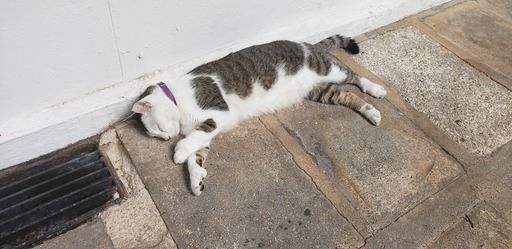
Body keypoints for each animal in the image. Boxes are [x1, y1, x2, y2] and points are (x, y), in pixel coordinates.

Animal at [130, 35, 386, 196]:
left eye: (156, 130)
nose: (165, 138)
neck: (179, 99)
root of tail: (308, 44)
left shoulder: (218, 113)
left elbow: (193, 139)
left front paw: (179, 152)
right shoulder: (204, 130)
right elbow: (197, 152)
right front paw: (196, 178)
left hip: (328, 70)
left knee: (352, 76)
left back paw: (375, 89)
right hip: (319, 91)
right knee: (346, 95)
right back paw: (370, 111)